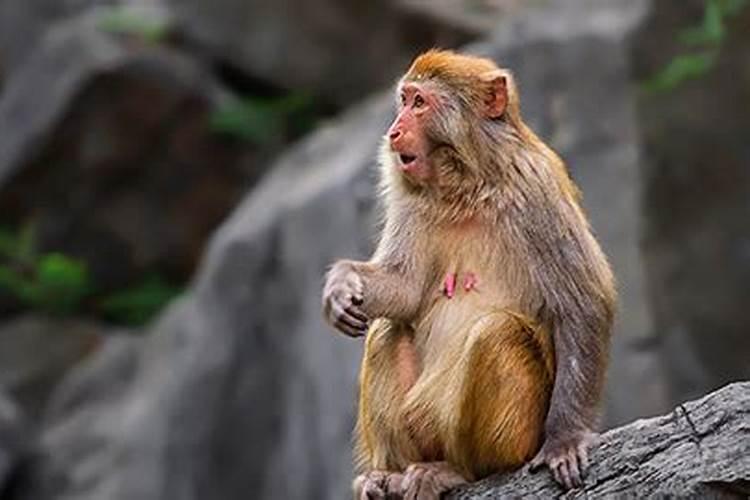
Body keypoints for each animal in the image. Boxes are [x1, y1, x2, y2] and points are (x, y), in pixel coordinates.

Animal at [322, 47, 616, 500]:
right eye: (403, 100)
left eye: (419, 103)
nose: (393, 132)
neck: (469, 187)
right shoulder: (413, 201)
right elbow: (405, 290)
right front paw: (342, 285)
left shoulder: (537, 191)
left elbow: (583, 302)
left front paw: (565, 439)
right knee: (388, 331)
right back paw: (386, 476)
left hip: (515, 435)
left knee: (495, 332)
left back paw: (461, 471)